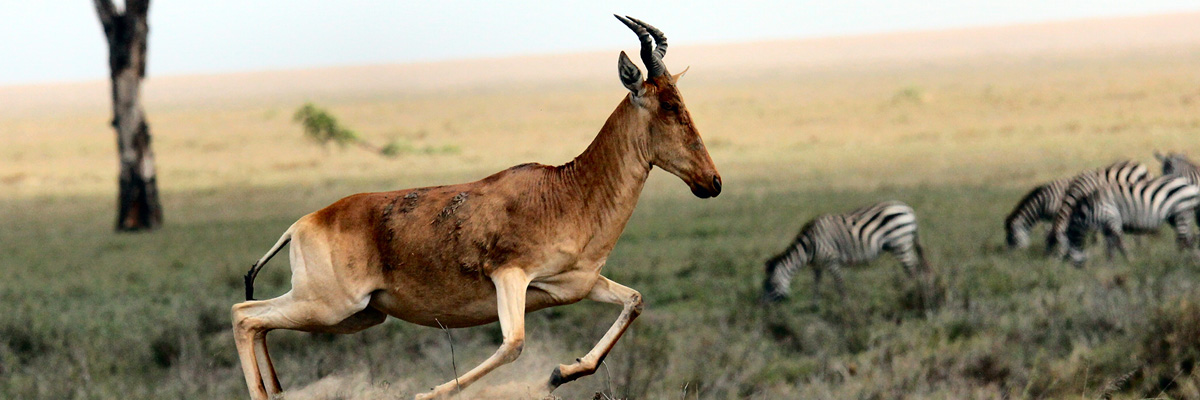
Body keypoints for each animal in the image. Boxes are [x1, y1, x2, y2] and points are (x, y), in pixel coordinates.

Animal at [234, 15, 720, 398]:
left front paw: (559, 374)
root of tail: (304, 223)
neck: (566, 190)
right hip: (330, 306)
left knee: (259, 323)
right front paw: (428, 393)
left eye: (681, 100)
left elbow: (633, 302)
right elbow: (513, 344)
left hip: (358, 316)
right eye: (669, 105)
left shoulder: (576, 285)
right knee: (244, 316)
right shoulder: (510, 276)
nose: (712, 182)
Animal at [763, 199, 931, 302]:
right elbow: (816, 284)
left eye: (770, 284)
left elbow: (839, 284)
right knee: (915, 267)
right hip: (904, 243)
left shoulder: (831, 260)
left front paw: (846, 304)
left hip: (900, 243)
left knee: (912, 270)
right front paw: (814, 305)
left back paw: (908, 293)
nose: (763, 308)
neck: (809, 247)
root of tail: (908, 208)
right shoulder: (818, 264)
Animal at [1070, 175, 1200, 266]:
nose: (1080, 269)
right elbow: (1110, 248)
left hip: (1182, 212)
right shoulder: (1106, 228)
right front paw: (1109, 266)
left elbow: (1120, 244)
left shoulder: (1112, 220)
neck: (1091, 210)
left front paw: (1130, 261)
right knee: (1189, 239)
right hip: (1176, 217)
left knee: (1183, 240)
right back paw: (1192, 260)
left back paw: (1177, 263)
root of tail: (1190, 184)